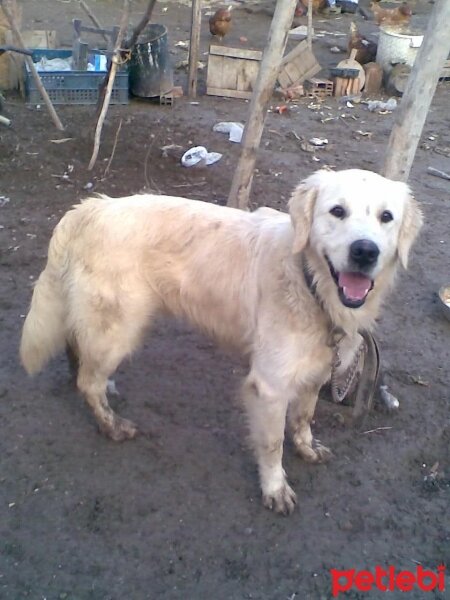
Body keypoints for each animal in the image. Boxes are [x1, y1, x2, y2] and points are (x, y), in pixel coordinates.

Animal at [20, 170, 422, 516]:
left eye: (386, 217)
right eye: (337, 211)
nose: (365, 251)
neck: (309, 285)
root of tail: (90, 207)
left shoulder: (317, 370)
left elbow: (303, 418)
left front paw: (307, 448)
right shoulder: (270, 387)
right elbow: (272, 444)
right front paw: (275, 488)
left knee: (78, 355)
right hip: (120, 329)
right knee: (88, 381)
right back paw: (111, 425)